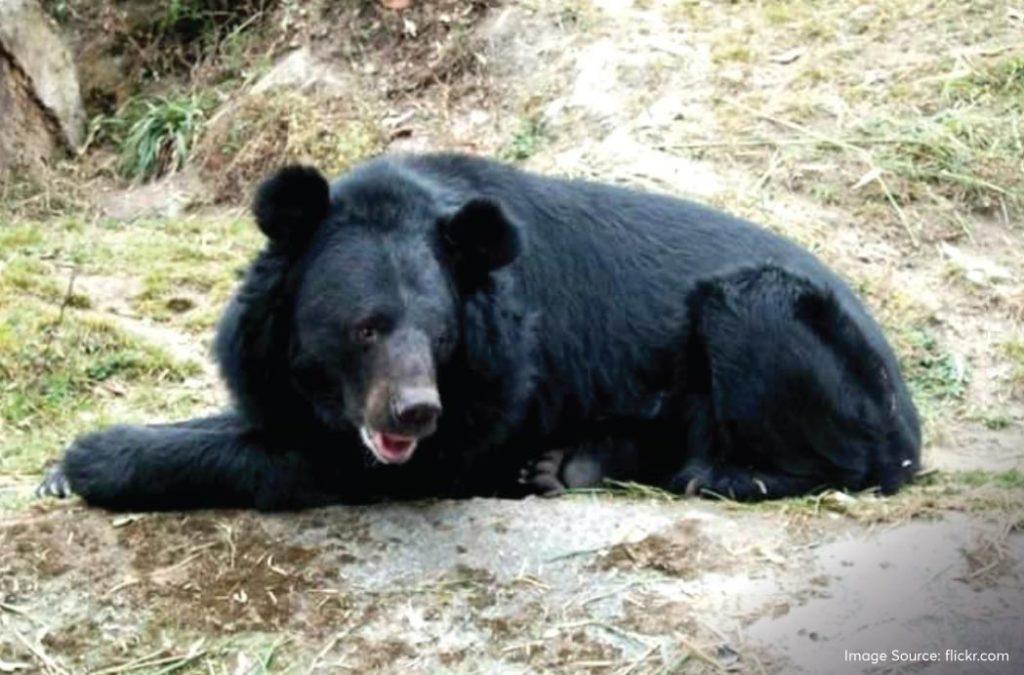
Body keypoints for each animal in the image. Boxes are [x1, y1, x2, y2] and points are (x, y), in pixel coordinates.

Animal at [37, 154, 921, 512]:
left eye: (438, 335)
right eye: (364, 328)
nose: (413, 412)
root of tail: (907, 405)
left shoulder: (493, 388)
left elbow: (309, 459)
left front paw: (91, 459)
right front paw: (55, 469)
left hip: (781, 318)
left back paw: (721, 474)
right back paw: (571, 462)